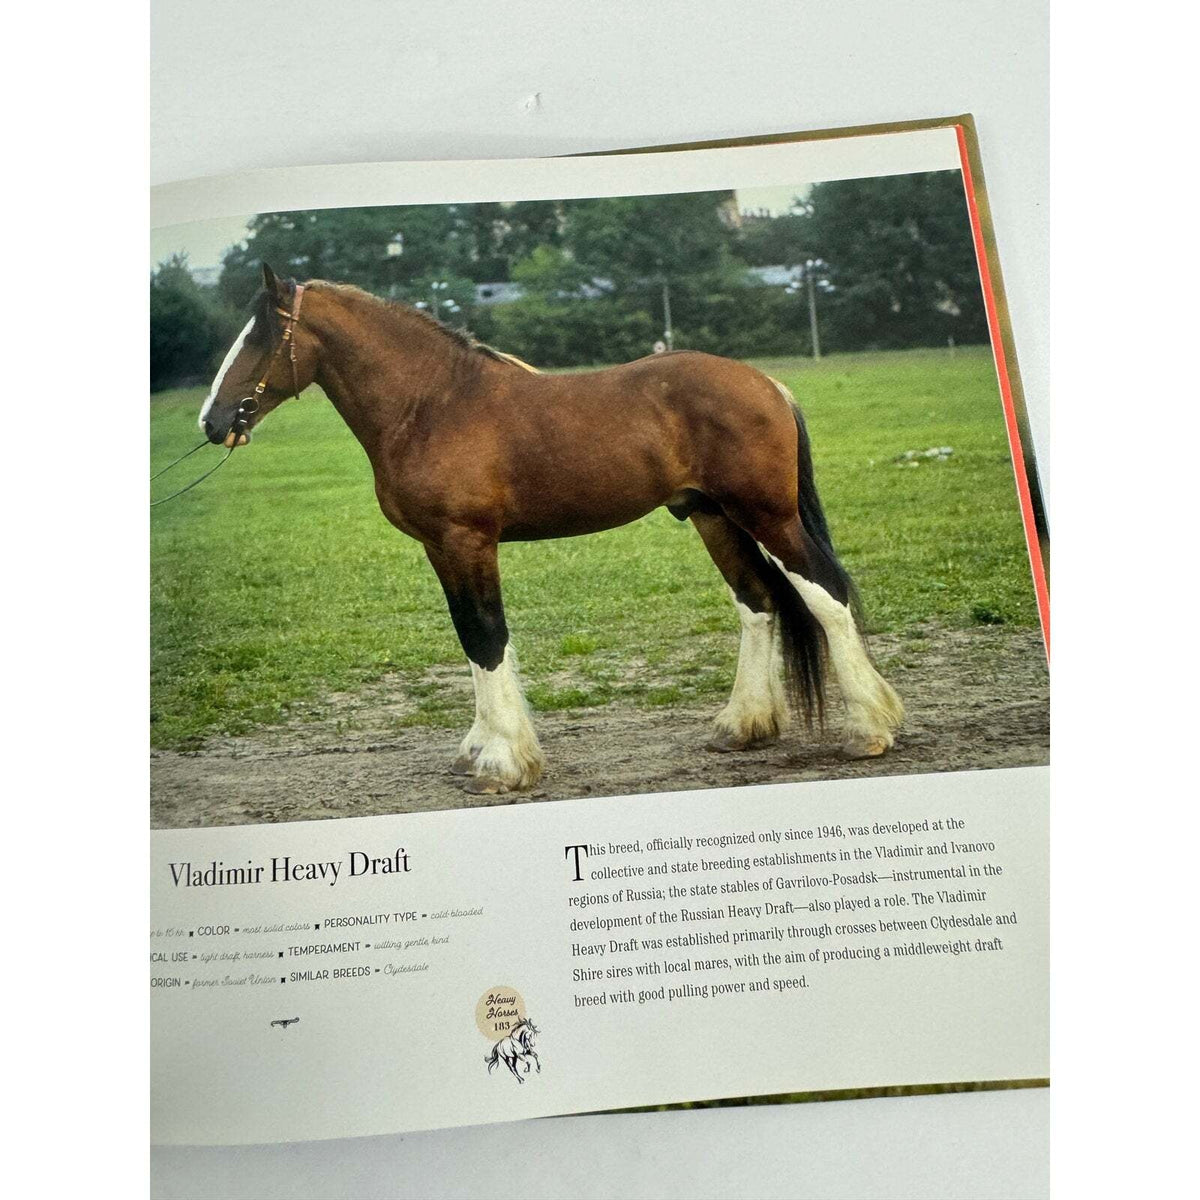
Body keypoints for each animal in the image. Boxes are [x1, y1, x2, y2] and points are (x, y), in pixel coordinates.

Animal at [198, 264, 903, 795]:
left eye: (261, 336)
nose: (212, 420)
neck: (432, 405)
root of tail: (770, 384)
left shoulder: (466, 540)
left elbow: (486, 637)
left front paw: (503, 764)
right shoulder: (440, 549)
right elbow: (471, 637)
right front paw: (482, 747)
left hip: (767, 516)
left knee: (827, 596)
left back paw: (869, 730)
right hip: (713, 518)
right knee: (757, 603)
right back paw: (742, 726)